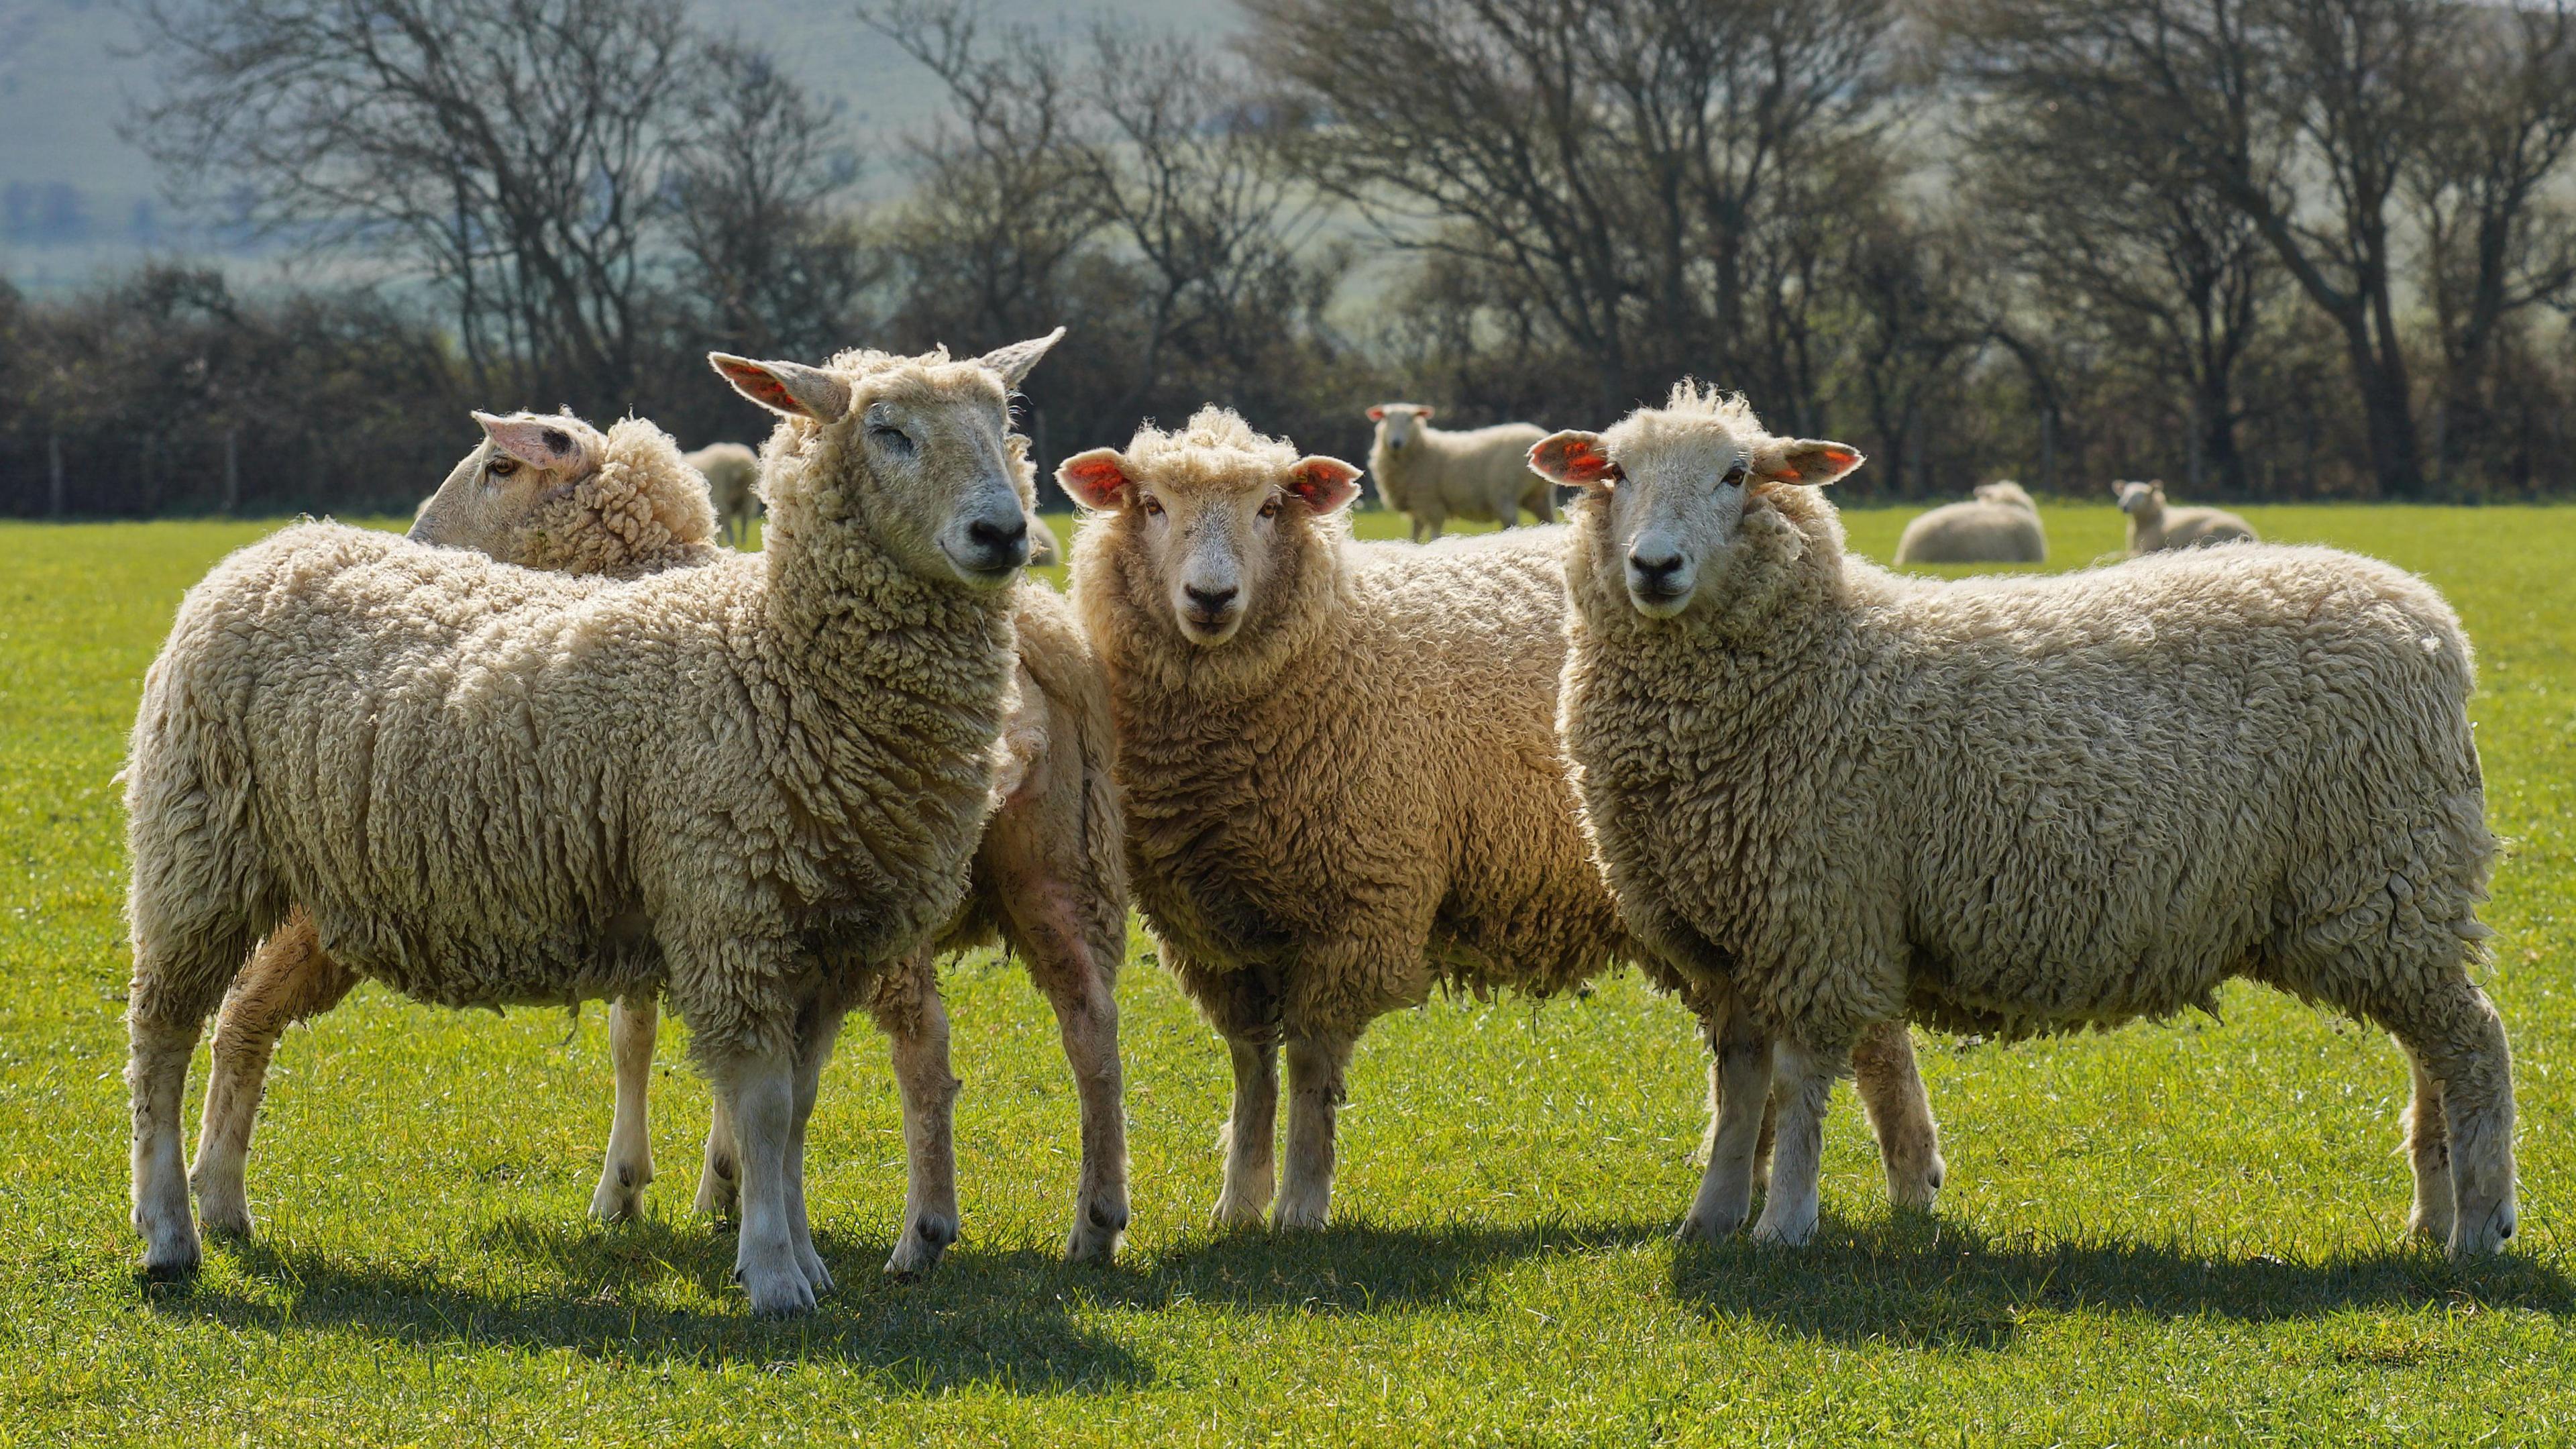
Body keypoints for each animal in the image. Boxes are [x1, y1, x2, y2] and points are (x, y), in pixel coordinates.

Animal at [687, 440, 764, 546]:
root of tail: (737, 462)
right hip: (747, 498)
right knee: (744, 519)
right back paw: (743, 542)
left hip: (722, 495)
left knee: (728, 521)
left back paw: (731, 540)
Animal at [1365, 403, 1556, 541]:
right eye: (1386, 418)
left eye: (1411, 419)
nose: (1396, 443)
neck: (1420, 449)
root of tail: (1541, 435)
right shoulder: (1417, 505)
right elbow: (1414, 535)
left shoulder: (1431, 501)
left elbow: (1434, 533)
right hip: (1539, 496)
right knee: (1549, 522)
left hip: (1504, 492)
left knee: (1511, 522)